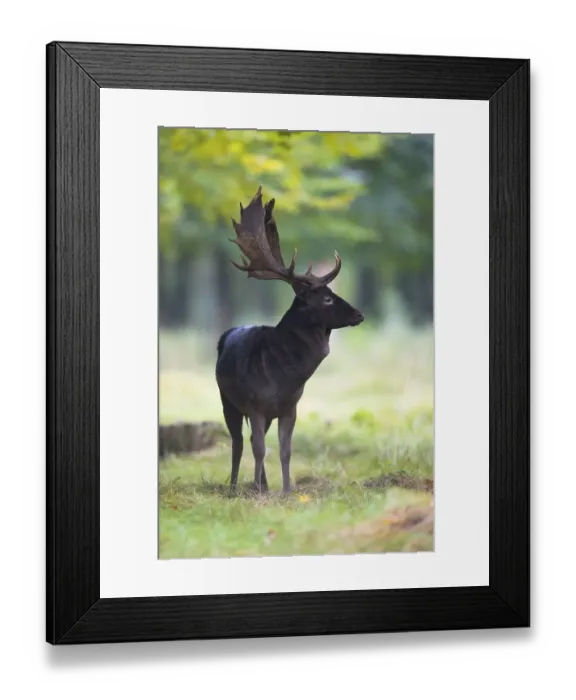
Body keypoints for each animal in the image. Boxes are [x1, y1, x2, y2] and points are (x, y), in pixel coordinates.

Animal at [215, 186, 364, 495]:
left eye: (333, 291)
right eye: (327, 298)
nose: (359, 314)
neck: (283, 376)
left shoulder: (290, 407)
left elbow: (285, 450)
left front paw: (285, 491)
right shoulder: (255, 404)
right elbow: (260, 449)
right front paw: (257, 492)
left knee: (250, 440)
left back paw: (263, 484)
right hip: (227, 399)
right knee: (238, 442)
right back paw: (235, 487)